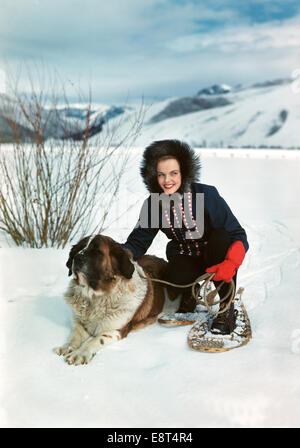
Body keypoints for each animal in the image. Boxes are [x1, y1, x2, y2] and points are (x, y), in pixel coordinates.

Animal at [54, 234, 177, 364]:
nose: (77, 257)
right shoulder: (81, 323)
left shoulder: (116, 330)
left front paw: (80, 353)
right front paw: (67, 347)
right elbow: (75, 334)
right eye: (79, 248)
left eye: (97, 251)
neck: (94, 298)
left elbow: (96, 340)